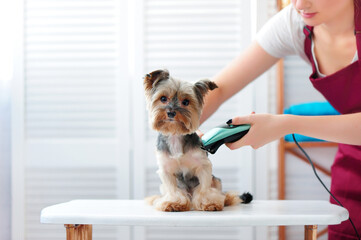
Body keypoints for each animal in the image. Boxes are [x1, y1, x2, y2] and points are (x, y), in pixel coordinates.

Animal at [143, 70, 250, 212]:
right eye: (163, 99)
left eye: (186, 102)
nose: (171, 112)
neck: (175, 134)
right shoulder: (166, 169)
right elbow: (173, 189)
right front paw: (173, 202)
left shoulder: (203, 165)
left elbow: (204, 188)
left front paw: (209, 203)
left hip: (216, 180)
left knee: (219, 191)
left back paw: (226, 199)